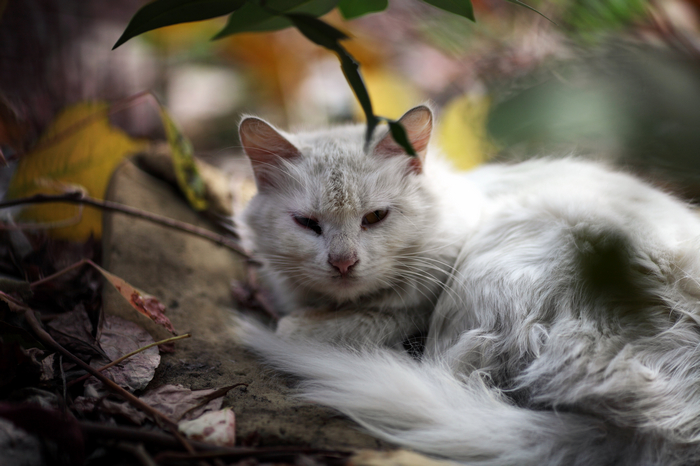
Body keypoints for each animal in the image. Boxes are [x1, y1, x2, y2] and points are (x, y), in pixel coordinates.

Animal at [235, 106, 700, 466]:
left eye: (375, 218)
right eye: (307, 224)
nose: (343, 262)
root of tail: (670, 429)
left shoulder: (417, 307)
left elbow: (331, 325)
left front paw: (298, 324)